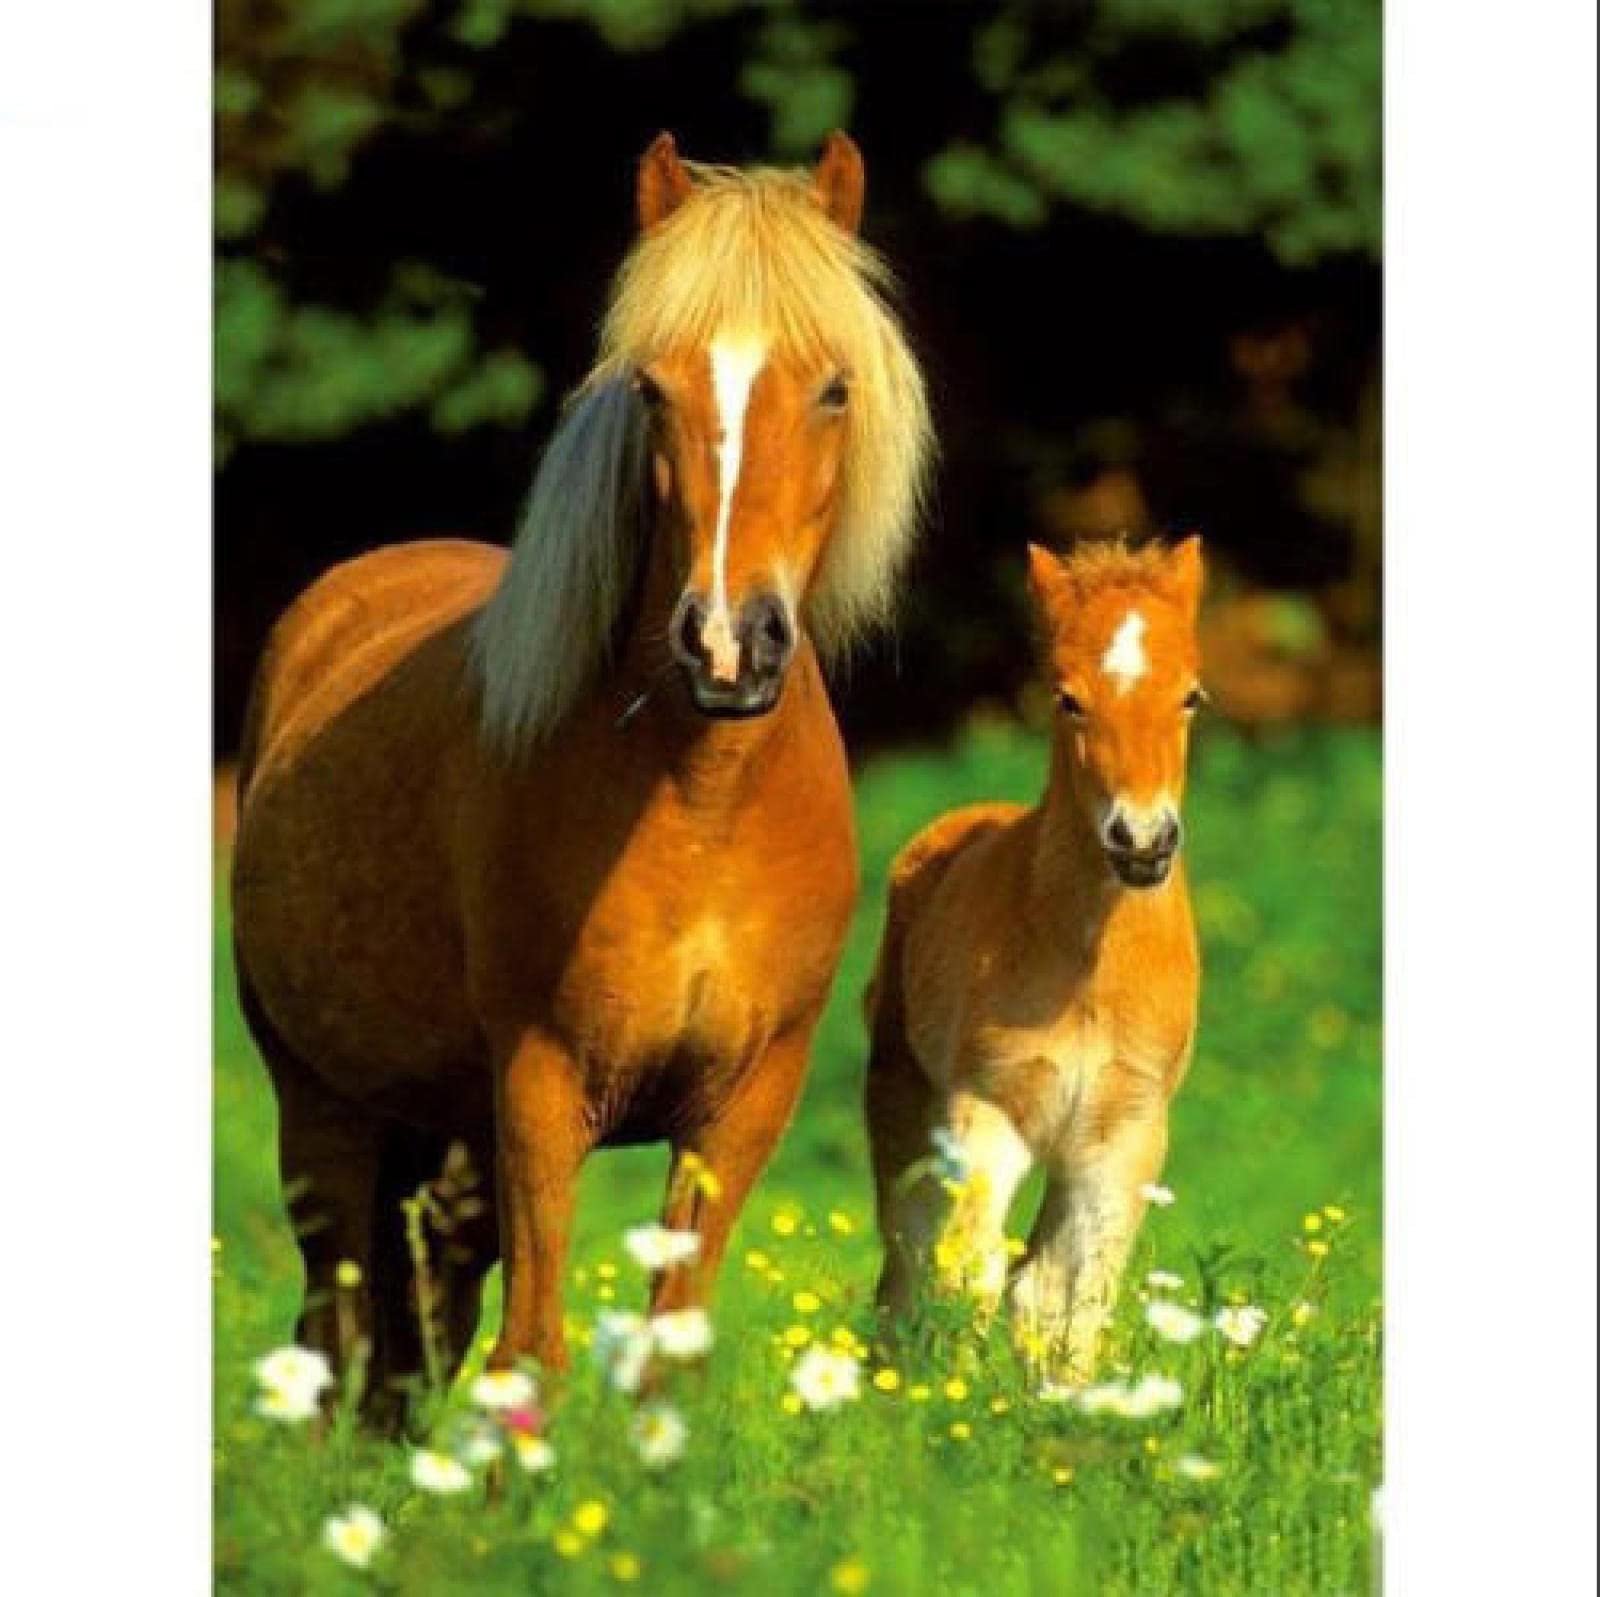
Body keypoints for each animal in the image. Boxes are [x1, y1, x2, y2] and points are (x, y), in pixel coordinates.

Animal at [231, 131, 931, 1424]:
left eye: (833, 389)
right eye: (653, 389)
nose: (726, 643)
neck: (703, 804)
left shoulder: (741, 1102)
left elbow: (667, 1351)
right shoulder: (543, 1083)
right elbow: (533, 1357)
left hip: (445, 1143)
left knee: (408, 1347)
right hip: (325, 1113)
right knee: (337, 1334)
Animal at [863, 537, 1204, 1385]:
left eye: (1191, 696)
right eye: (1067, 698)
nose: (1142, 840)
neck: (1086, 968)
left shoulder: (1126, 1132)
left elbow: (1069, 1293)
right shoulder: (986, 1109)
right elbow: (967, 1270)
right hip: (900, 1104)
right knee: (903, 1264)